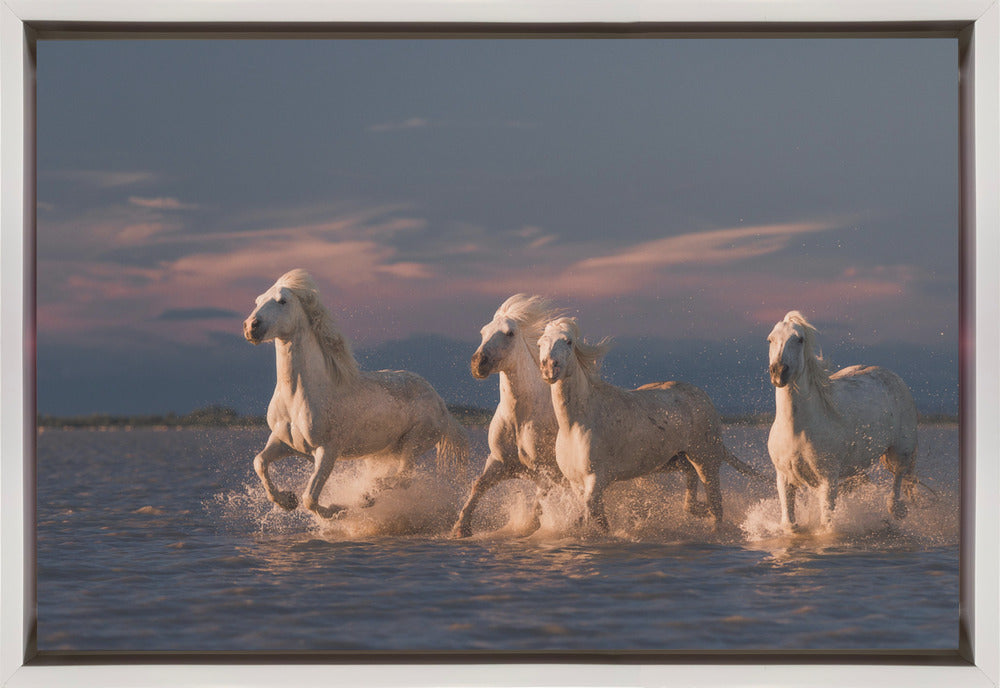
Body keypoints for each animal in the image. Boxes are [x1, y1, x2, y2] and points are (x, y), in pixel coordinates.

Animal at [243, 269, 469, 519]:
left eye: (282, 301)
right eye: (258, 301)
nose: (251, 327)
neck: (298, 397)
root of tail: (441, 403)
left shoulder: (327, 450)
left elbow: (310, 497)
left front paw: (336, 510)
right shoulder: (284, 442)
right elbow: (259, 462)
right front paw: (286, 500)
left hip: (414, 442)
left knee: (404, 478)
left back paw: (366, 496)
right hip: (385, 452)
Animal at [537, 317, 760, 531]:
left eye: (568, 341)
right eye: (540, 343)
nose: (549, 367)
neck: (576, 425)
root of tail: (704, 397)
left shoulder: (597, 479)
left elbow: (590, 514)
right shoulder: (576, 483)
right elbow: (595, 517)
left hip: (706, 460)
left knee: (716, 505)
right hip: (676, 460)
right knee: (694, 489)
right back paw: (699, 509)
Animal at [766, 310, 919, 532]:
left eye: (799, 339)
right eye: (770, 339)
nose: (778, 372)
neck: (797, 429)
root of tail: (893, 376)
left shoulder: (828, 478)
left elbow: (826, 524)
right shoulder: (784, 478)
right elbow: (789, 524)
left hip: (901, 450)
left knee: (899, 475)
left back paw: (896, 510)